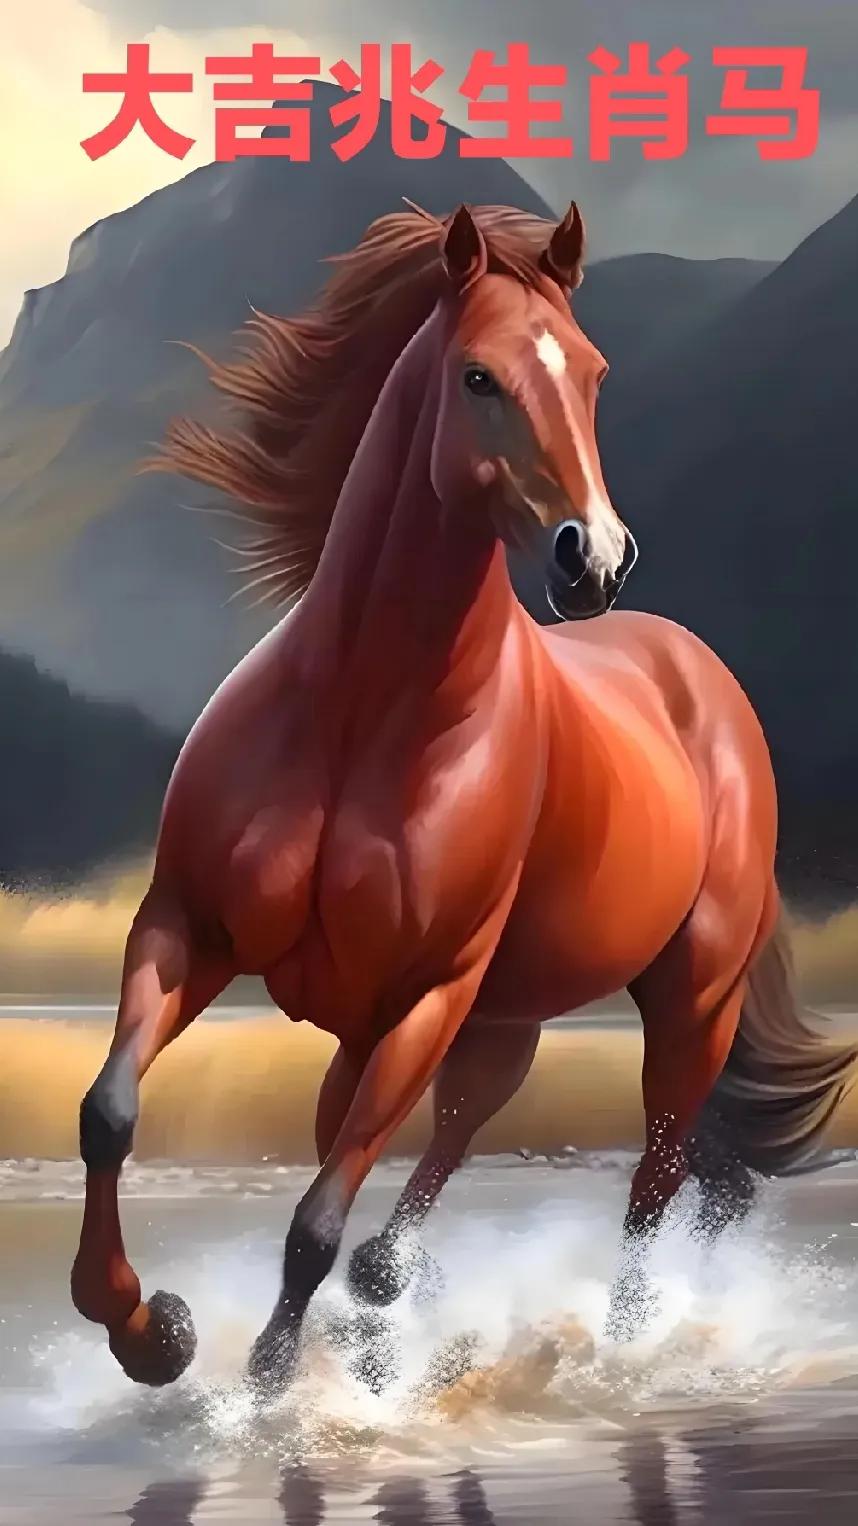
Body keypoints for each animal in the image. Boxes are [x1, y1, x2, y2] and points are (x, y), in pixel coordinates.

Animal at [70, 200, 858, 1394]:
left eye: (593, 372)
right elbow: (111, 1111)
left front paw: (262, 1390)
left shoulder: (428, 995)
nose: (595, 561)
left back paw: (608, 1355)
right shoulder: (190, 925)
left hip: (687, 1005)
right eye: (479, 376)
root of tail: (704, 683)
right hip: (499, 1021)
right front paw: (145, 1329)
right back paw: (392, 1313)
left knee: (653, 1183)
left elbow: (316, 1220)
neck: (360, 711)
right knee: (441, 1159)